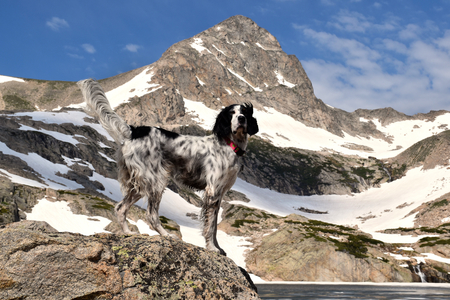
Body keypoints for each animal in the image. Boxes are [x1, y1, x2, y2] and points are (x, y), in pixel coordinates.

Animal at [79, 78, 258, 254]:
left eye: (244, 112)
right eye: (231, 113)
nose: (241, 119)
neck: (228, 144)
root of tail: (134, 131)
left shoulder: (219, 194)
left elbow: (213, 226)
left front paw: (218, 247)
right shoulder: (213, 191)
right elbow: (210, 226)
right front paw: (212, 248)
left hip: (139, 185)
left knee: (120, 208)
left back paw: (128, 233)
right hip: (156, 181)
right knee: (151, 215)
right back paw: (166, 235)